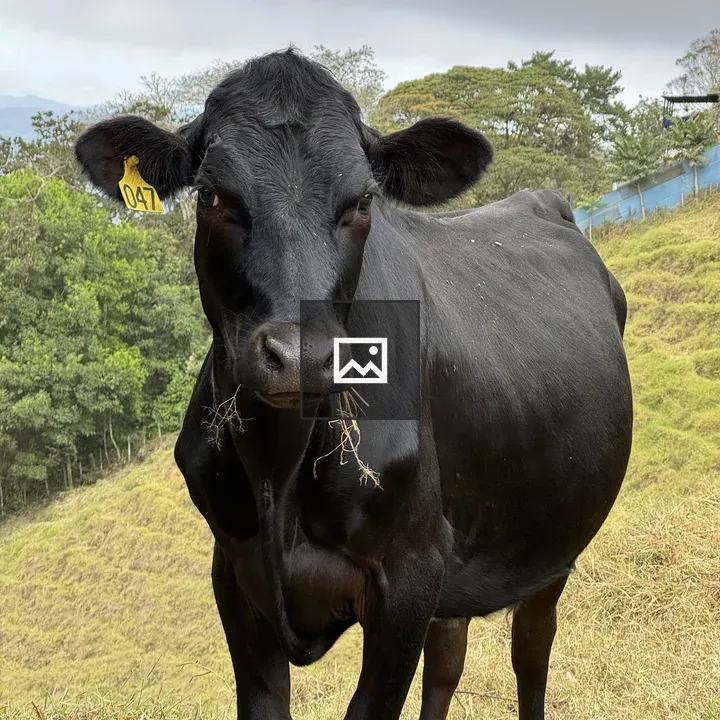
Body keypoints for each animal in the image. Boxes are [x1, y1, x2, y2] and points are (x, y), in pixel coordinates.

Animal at [75, 48, 633, 720]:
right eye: (210, 195)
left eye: (363, 201)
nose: (301, 356)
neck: (279, 467)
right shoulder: (234, 576)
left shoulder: (408, 577)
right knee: (449, 656)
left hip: (551, 544)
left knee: (532, 648)